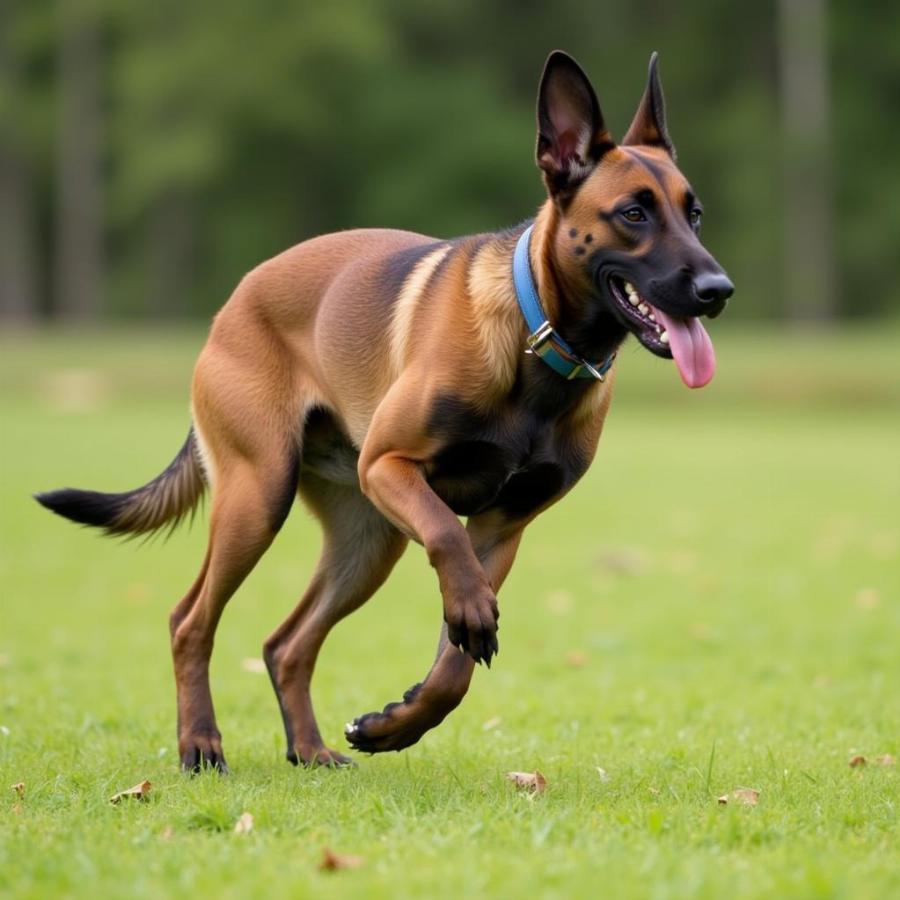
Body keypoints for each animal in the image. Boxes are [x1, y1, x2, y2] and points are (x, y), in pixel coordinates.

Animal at [38, 49, 736, 768]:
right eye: (634, 214)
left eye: (694, 214)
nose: (719, 290)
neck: (538, 341)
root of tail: (231, 304)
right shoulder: (392, 468)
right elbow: (446, 537)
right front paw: (455, 638)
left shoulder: (502, 528)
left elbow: (454, 665)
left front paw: (394, 724)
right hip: (259, 496)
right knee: (190, 619)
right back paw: (201, 744)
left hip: (367, 540)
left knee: (286, 643)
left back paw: (311, 750)